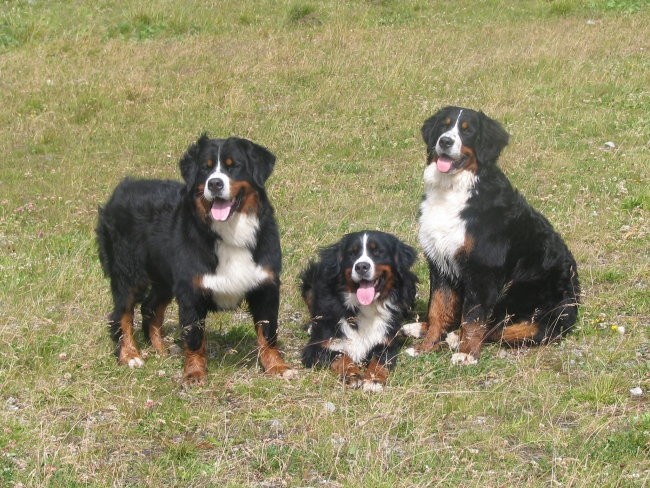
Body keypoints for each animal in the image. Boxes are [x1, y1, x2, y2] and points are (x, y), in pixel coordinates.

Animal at [96, 134, 294, 386]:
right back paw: (130, 355)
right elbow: (194, 337)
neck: (230, 232)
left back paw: (161, 349)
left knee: (150, 308)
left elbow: (268, 334)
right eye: (205, 168)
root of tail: (122, 187)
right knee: (122, 315)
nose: (215, 184)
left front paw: (277, 367)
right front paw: (194, 373)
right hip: (129, 274)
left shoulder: (265, 286)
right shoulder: (191, 289)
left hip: (164, 278)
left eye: (233, 166)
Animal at [300, 231, 416, 390]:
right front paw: (353, 375)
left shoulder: (386, 343)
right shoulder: (317, 347)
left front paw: (373, 379)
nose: (361, 266)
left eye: (378, 252)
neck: (365, 307)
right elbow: (341, 356)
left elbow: (379, 359)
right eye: (352, 253)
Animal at [402, 107, 580, 366]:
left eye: (467, 131)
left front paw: (467, 353)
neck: (453, 189)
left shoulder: (483, 270)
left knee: (501, 327)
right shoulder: (440, 262)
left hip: (524, 291)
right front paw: (425, 347)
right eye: (444, 126)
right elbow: (437, 309)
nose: (445, 141)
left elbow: (474, 318)